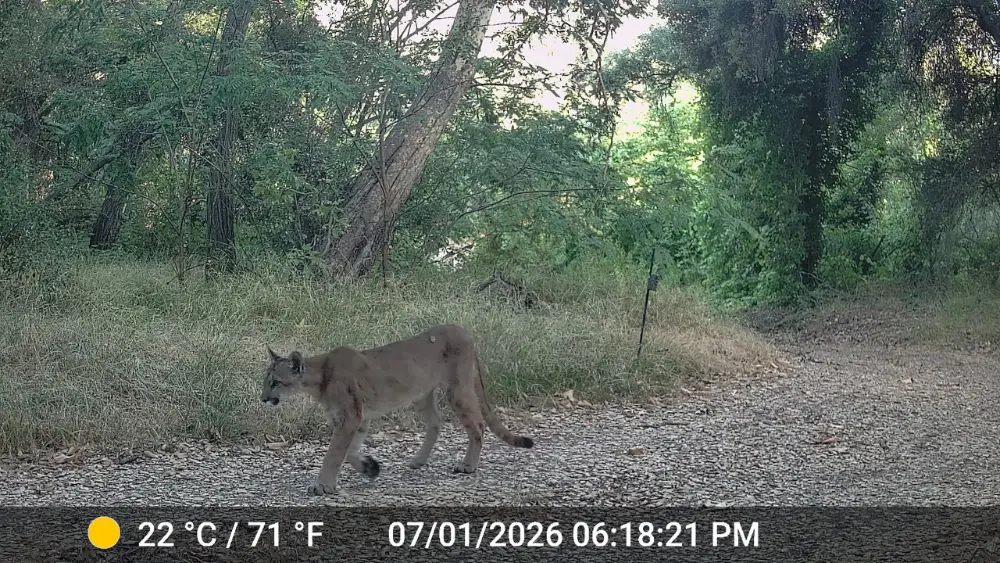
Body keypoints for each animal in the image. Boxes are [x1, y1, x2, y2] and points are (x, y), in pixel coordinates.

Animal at [261, 323, 535, 496]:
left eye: (275, 382)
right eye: (266, 381)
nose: (263, 399)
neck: (318, 379)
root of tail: (462, 330)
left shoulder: (351, 416)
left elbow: (335, 453)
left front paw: (322, 487)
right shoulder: (357, 418)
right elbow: (349, 451)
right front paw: (370, 468)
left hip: (457, 389)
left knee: (477, 425)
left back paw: (467, 465)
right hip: (422, 395)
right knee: (435, 422)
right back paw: (418, 460)